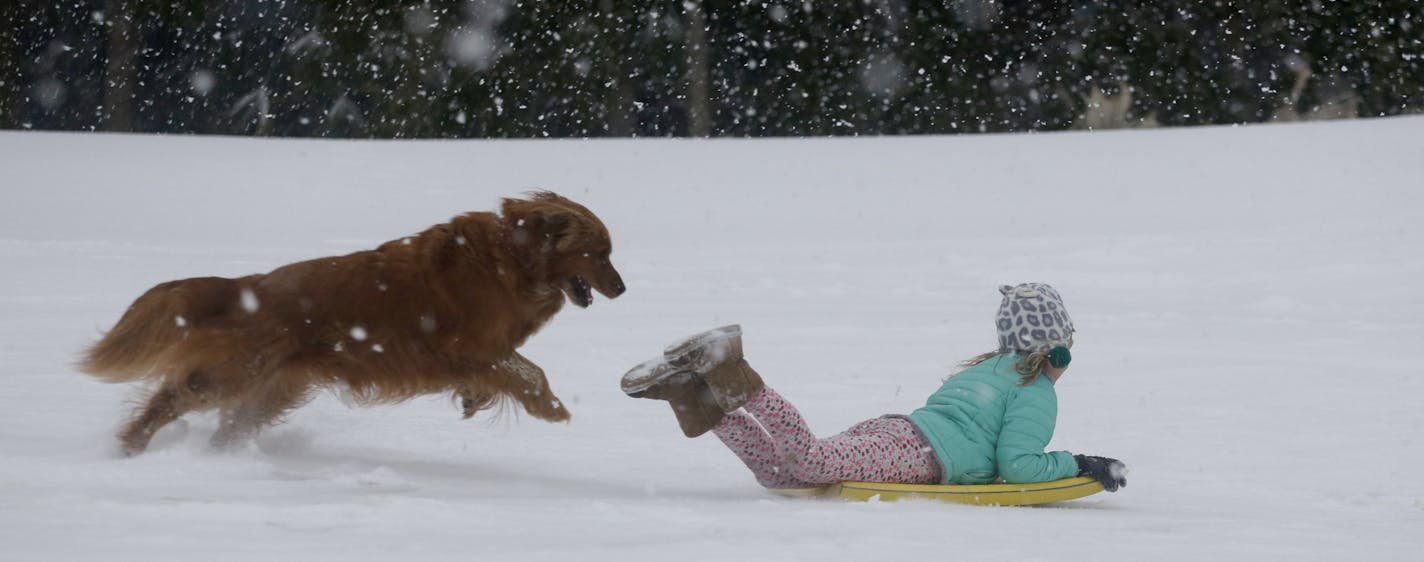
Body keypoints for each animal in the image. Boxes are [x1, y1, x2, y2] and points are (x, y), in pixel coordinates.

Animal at [79, 192, 623, 455]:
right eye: (600, 253)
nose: (622, 288)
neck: (514, 257)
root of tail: (246, 286)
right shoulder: (467, 348)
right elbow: (528, 371)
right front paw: (551, 408)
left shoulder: (479, 353)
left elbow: (509, 373)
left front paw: (476, 399)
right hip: (232, 375)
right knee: (168, 398)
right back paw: (129, 448)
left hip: (272, 391)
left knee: (225, 428)